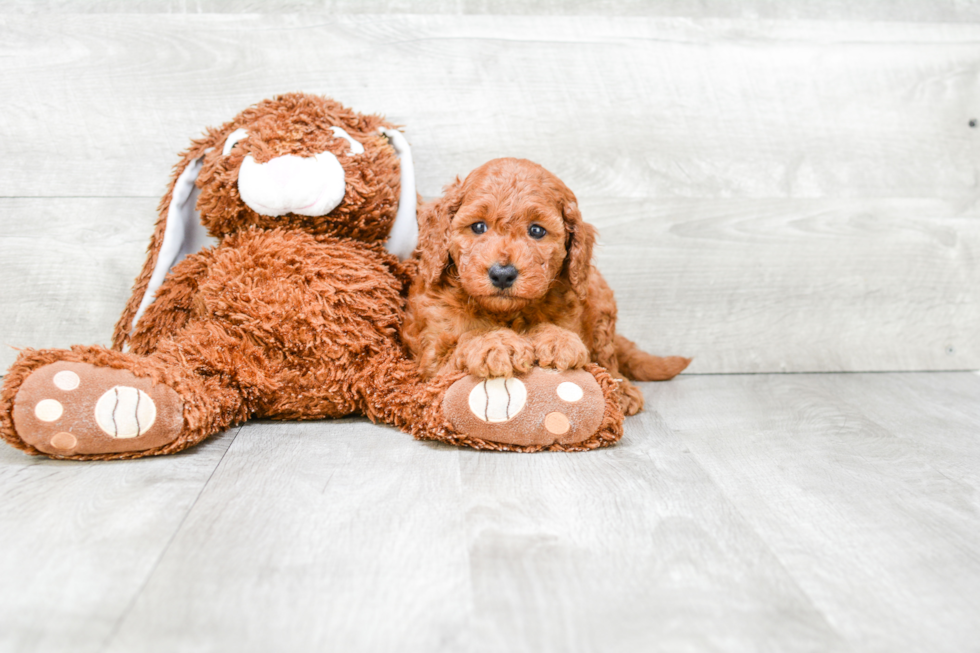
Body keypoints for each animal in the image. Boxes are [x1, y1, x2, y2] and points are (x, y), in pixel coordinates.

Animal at [398, 157, 688, 412]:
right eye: (478, 227)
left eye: (536, 231)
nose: (502, 273)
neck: (506, 314)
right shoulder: (432, 365)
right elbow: (468, 338)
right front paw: (496, 343)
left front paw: (557, 339)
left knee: (608, 356)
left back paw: (622, 389)